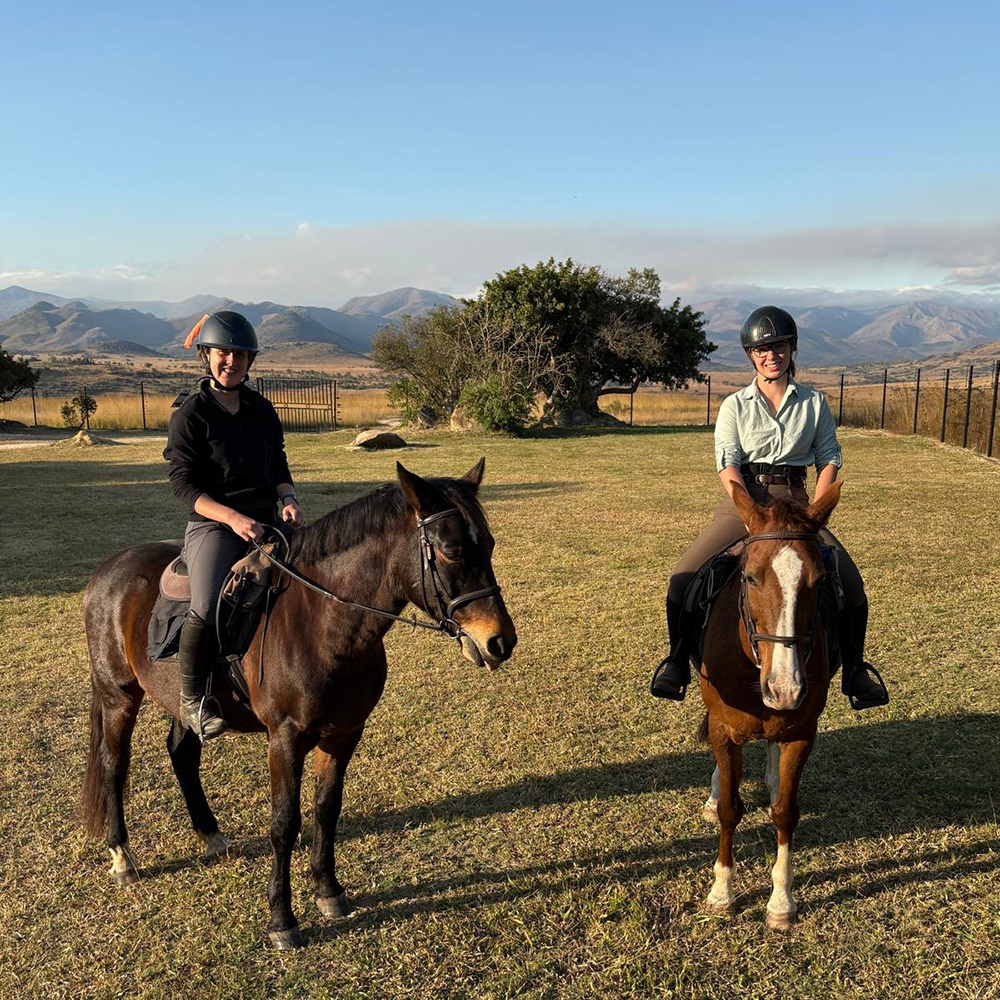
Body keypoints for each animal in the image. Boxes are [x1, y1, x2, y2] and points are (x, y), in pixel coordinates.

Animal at [79, 458, 517, 950]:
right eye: (452, 552)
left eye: (490, 544)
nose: (500, 641)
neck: (322, 623)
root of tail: (109, 570)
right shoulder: (284, 740)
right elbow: (284, 824)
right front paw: (281, 919)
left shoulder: (344, 734)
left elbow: (326, 810)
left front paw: (329, 891)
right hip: (118, 695)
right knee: (114, 765)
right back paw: (122, 857)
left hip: (182, 701)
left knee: (182, 751)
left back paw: (210, 834)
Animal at [697, 481, 842, 930]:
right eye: (750, 577)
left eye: (819, 580)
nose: (785, 688)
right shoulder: (725, 731)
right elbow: (731, 809)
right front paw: (722, 892)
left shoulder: (802, 733)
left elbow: (785, 812)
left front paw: (780, 901)